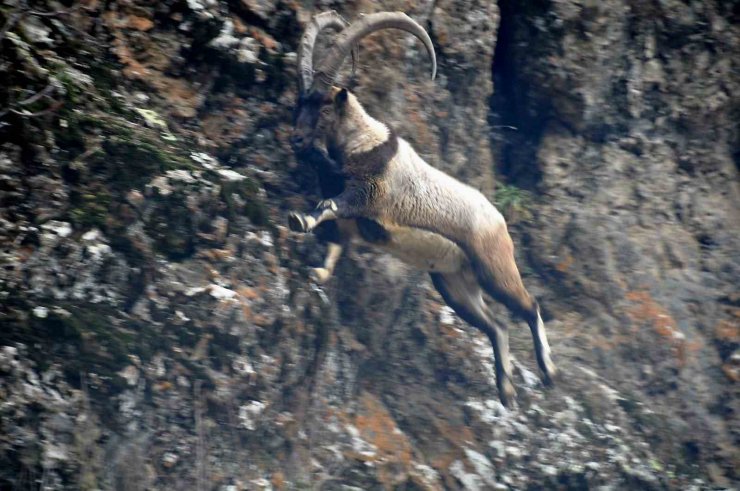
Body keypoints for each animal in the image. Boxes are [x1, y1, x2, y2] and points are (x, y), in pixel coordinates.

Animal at [290, 10, 556, 408]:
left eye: (322, 104)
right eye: (301, 101)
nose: (296, 138)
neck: (364, 145)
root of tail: (499, 221)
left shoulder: (369, 194)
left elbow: (330, 207)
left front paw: (300, 219)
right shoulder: (354, 220)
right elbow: (337, 240)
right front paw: (319, 273)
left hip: (492, 267)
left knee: (528, 305)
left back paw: (548, 372)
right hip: (454, 283)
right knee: (495, 325)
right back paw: (506, 391)